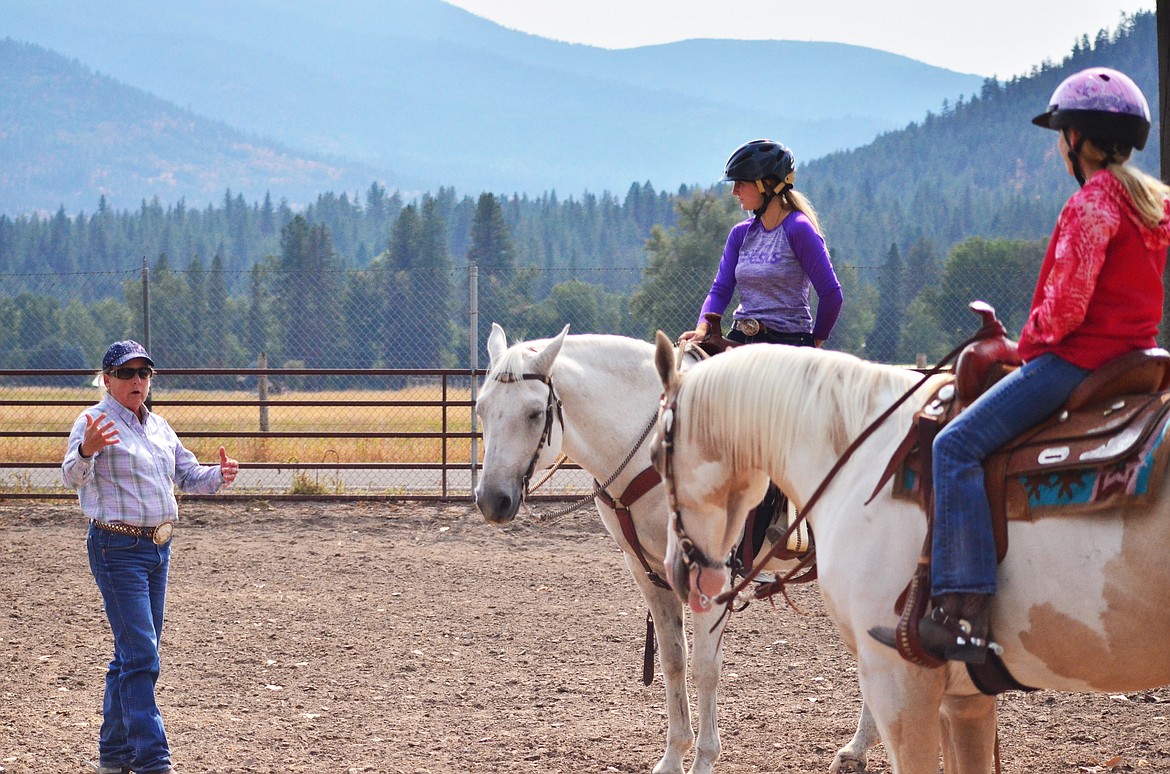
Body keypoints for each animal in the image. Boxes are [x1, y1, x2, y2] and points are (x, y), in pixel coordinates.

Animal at [475, 322, 879, 774]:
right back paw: (857, 749)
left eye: (534, 412)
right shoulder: (647, 573)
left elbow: (705, 667)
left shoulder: (712, 574)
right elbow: (673, 660)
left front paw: (704, 759)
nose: (491, 500)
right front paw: (672, 757)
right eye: (482, 408)